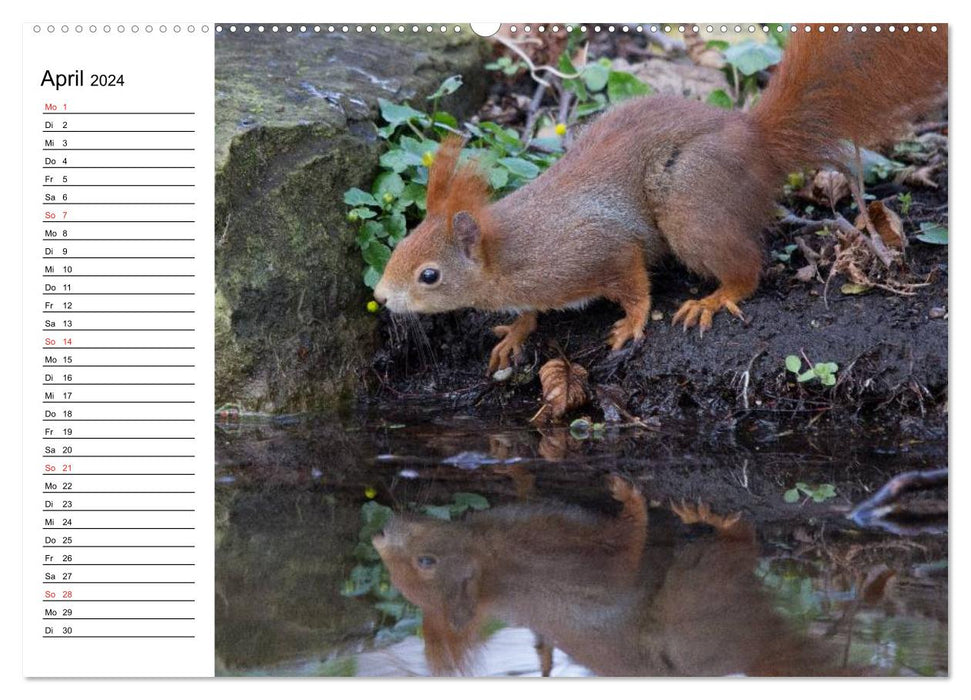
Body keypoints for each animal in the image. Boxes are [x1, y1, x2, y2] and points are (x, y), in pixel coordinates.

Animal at [374, 27, 948, 374]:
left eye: (429, 275)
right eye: (399, 246)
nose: (380, 297)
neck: (508, 251)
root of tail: (756, 141)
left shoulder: (593, 248)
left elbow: (632, 280)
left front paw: (632, 322)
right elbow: (530, 314)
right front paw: (517, 331)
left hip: (689, 203)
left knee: (747, 268)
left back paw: (713, 298)